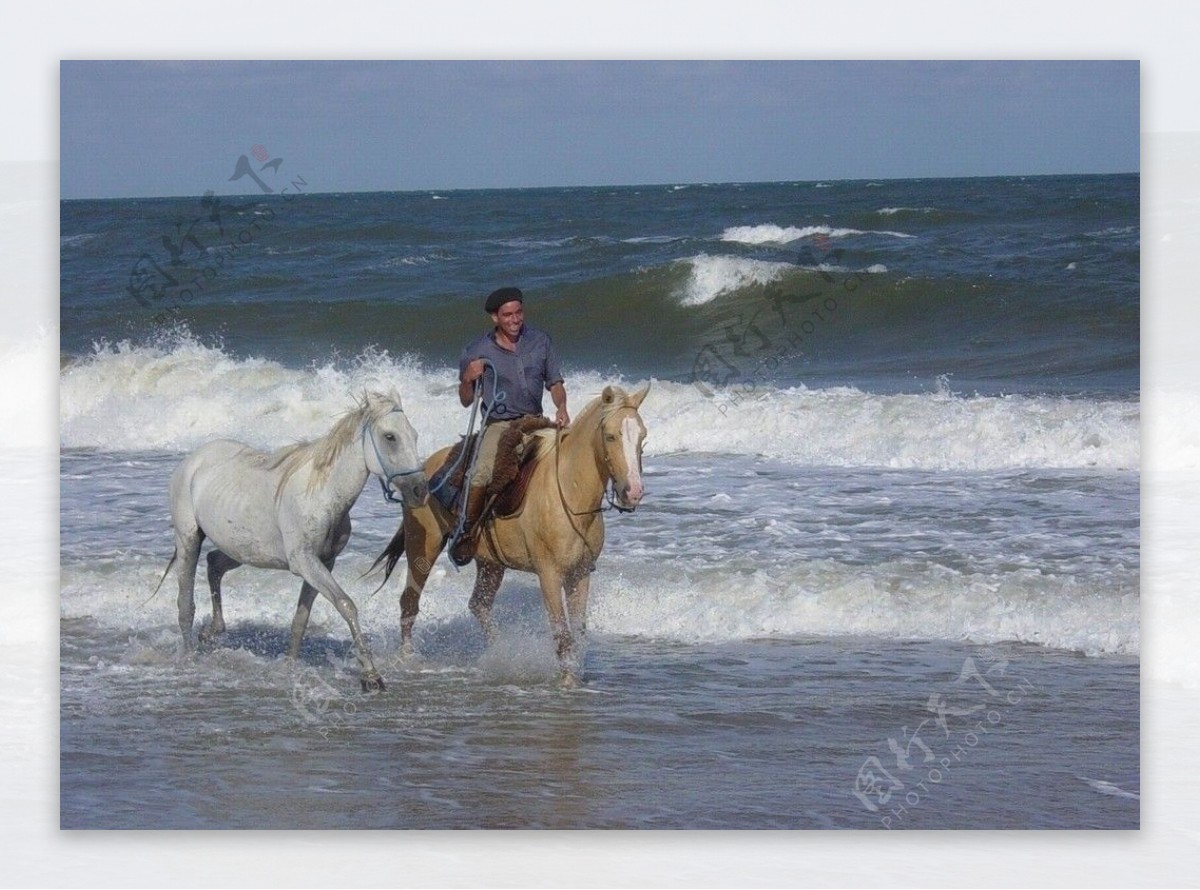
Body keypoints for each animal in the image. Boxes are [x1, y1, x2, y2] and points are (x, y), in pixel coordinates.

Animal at [154, 388, 427, 690]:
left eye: (414, 435)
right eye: (390, 437)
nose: (420, 490)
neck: (321, 494)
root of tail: (192, 460)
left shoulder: (324, 563)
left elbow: (301, 620)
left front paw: (290, 667)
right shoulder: (306, 563)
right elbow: (347, 605)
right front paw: (371, 676)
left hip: (242, 549)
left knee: (214, 563)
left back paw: (212, 632)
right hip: (188, 539)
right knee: (185, 604)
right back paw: (190, 658)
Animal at [374, 381, 652, 681]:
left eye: (642, 437)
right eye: (611, 436)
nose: (633, 493)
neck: (569, 491)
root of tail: (425, 467)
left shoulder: (580, 574)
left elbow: (578, 634)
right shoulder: (549, 574)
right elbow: (562, 636)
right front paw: (567, 681)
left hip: (491, 563)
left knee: (478, 605)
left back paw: (497, 652)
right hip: (422, 546)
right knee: (409, 603)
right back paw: (408, 659)